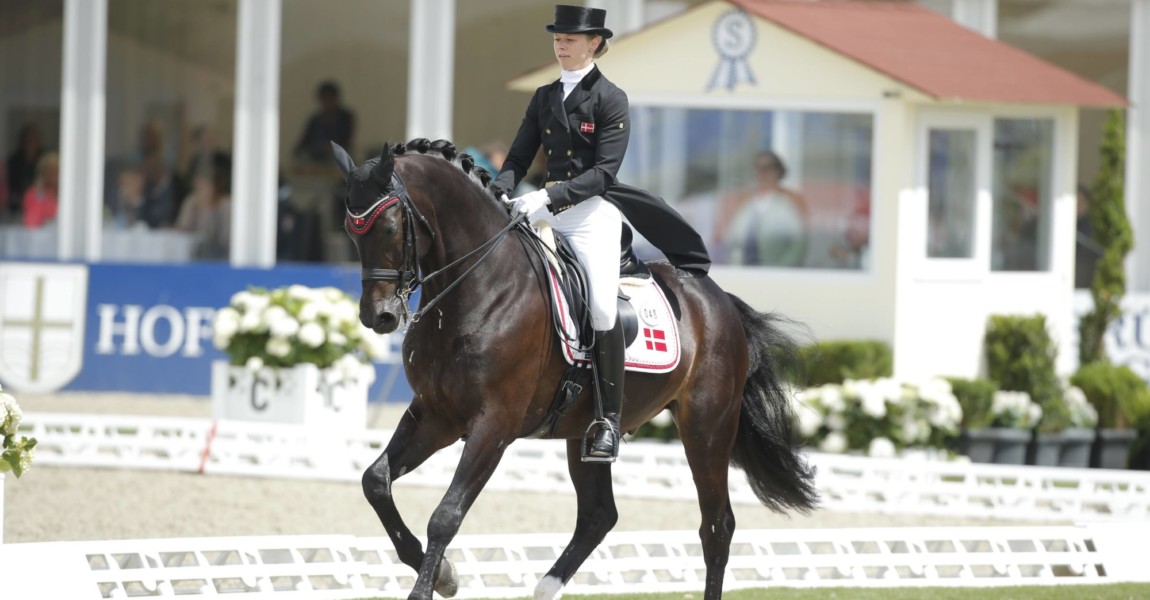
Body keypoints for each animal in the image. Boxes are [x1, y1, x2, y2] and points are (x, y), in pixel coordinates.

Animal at [331, 139, 818, 597]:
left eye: (389, 227)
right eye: (350, 231)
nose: (379, 318)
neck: (477, 288)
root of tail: (717, 299)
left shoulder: (494, 424)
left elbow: (446, 515)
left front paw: (431, 584)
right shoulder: (436, 414)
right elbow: (375, 481)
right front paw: (445, 576)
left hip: (707, 428)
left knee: (716, 527)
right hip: (584, 431)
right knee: (599, 516)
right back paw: (546, 588)